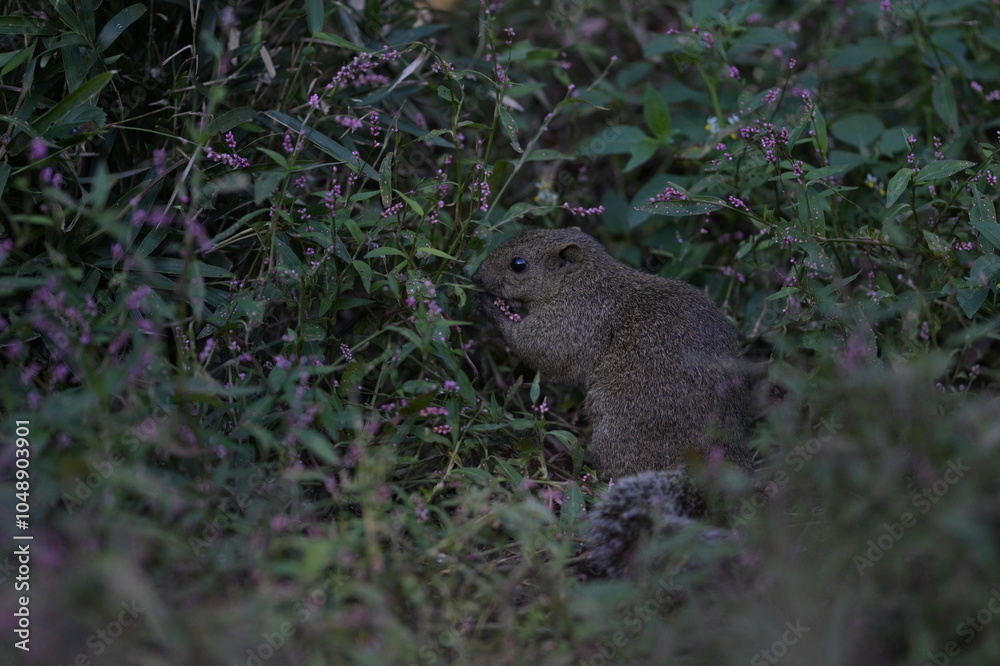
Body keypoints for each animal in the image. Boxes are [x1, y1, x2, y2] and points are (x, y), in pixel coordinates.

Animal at [471, 227, 755, 574]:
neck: (585, 281)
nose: (476, 276)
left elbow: (541, 350)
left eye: (518, 264)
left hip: (620, 435)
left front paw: (491, 306)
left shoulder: (573, 321)